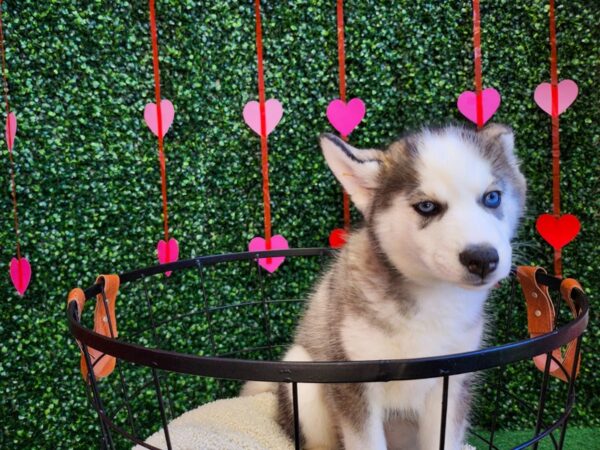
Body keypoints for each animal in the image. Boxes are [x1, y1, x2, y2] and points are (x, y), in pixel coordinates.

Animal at [244, 124, 524, 450]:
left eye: (492, 198)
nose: (482, 259)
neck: (432, 300)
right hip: (304, 380)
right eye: (426, 206)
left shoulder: (452, 381)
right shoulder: (354, 382)